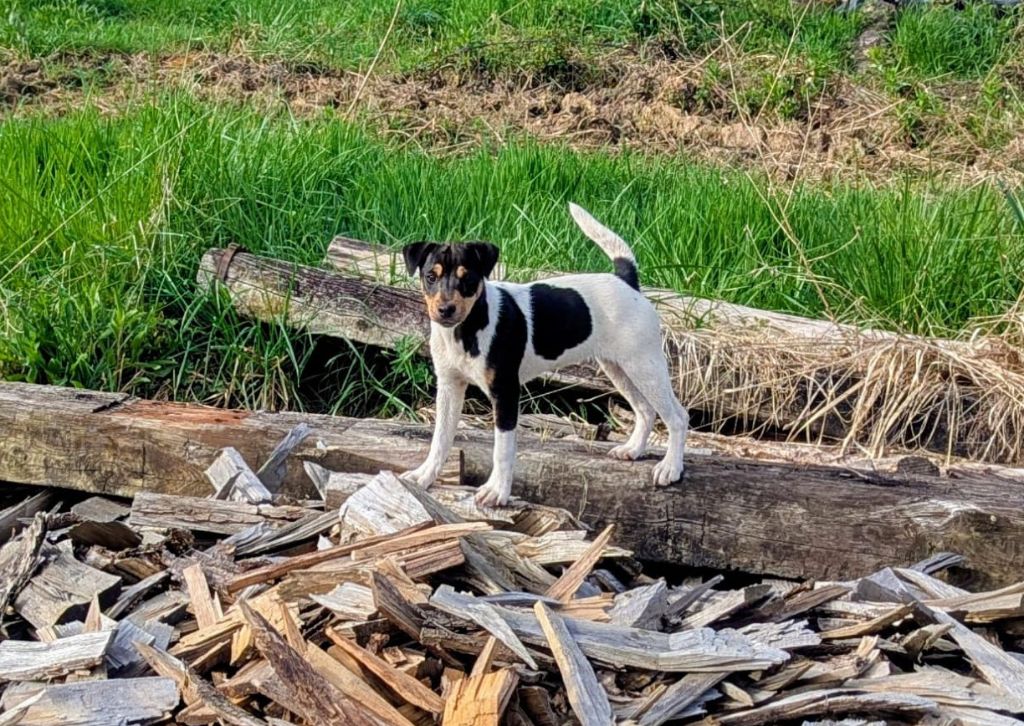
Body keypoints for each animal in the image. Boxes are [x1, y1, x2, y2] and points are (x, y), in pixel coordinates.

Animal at [400, 203, 689, 507]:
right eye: (430, 277)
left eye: (467, 279)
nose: (445, 310)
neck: (466, 330)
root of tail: (626, 281)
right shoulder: (449, 386)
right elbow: (440, 439)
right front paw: (424, 476)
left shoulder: (506, 392)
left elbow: (502, 449)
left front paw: (497, 491)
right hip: (618, 368)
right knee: (645, 410)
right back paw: (632, 450)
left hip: (644, 366)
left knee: (677, 417)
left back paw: (671, 468)